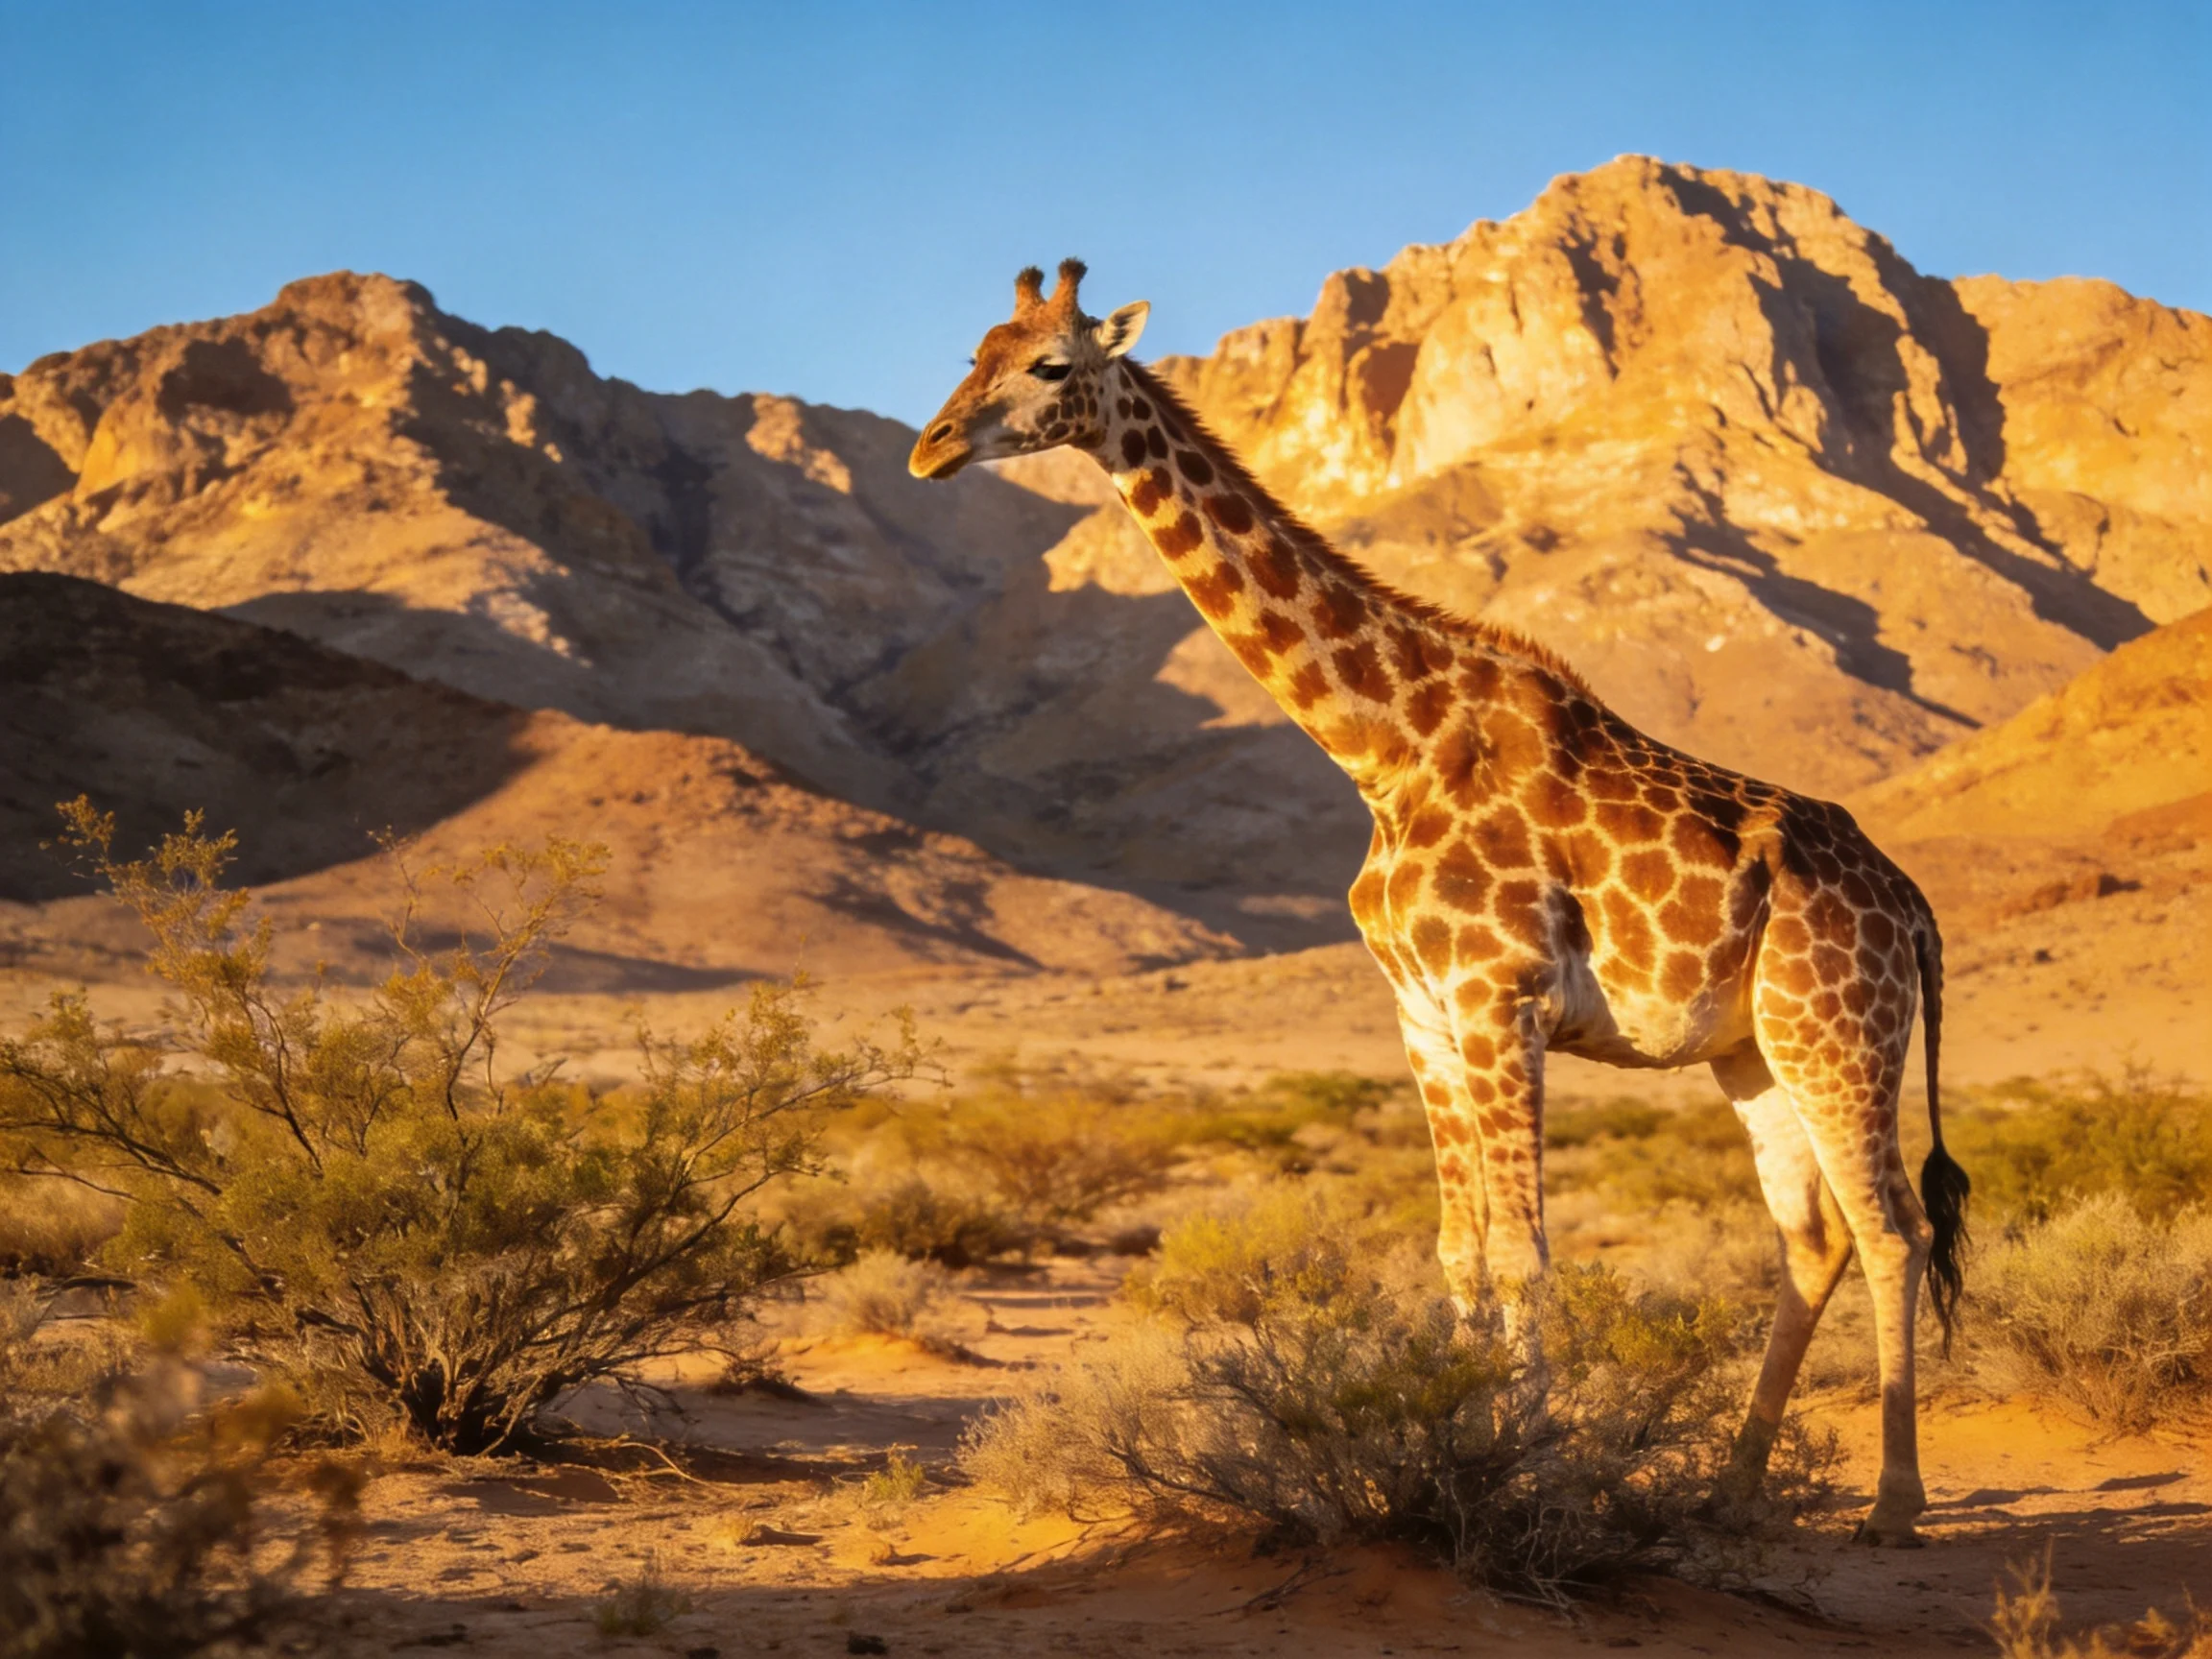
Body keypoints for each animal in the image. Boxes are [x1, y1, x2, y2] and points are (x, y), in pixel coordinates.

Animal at [908, 260, 1970, 1546]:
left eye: (1050, 364)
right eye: (973, 351)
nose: (930, 448)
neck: (1384, 747)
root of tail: (1912, 905)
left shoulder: (1498, 998)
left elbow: (1522, 1255)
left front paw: (1534, 1474)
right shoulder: (1421, 1011)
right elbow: (1461, 1253)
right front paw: (1455, 1451)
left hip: (1839, 1032)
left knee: (1892, 1227)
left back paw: (1893, 1506)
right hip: (1753, 1050)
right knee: (1811, 1238)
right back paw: (1733, 1486)